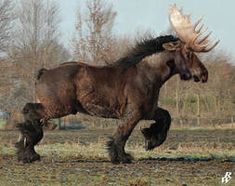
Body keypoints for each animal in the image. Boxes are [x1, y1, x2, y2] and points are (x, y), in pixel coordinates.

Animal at [15, 4, 218, 163]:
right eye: (189, 53)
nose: (204, 74)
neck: (146, 74)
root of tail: (43, 73)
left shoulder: (149, 110)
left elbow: (166, 117)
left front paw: (151, 140)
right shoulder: (133, 113)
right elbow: (122, 134)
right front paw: (121, 157)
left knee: (30, 114)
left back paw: (25, 149)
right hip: (59, 107)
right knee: (29, 111)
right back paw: (29, 153)